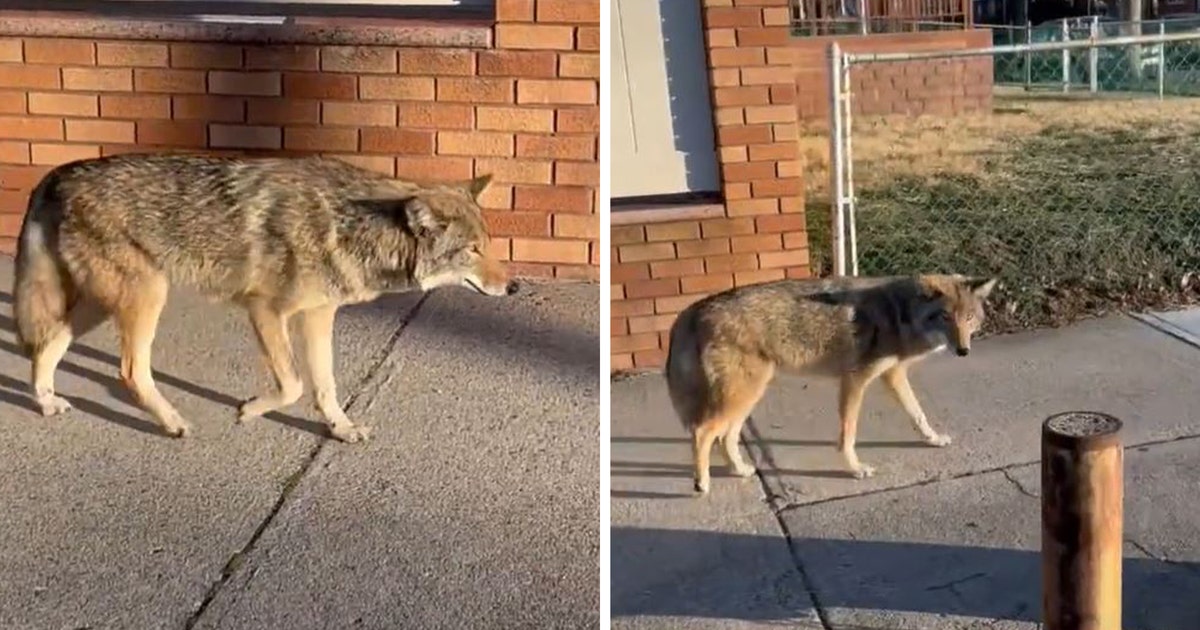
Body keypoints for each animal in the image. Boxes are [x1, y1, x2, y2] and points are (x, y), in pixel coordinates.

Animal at [12, 152, 516, 442]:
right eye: (473, 251)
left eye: (490, 245)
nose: (512, 287)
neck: (350, 225)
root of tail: (58, 173)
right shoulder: (265, 311)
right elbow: (292, 385)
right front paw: (250, 410)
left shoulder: (318, 317)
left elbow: (325, 385)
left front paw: (341, 429)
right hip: (146, 298)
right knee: (130, 370)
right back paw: (172, 422)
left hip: (105, 305)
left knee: (47, 344)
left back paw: (46, 402)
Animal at [664, 274, 998, 495]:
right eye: (945, 317)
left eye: (969, 317)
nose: (963, 350)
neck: (899, 313)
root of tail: (696, 307)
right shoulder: (854, 380)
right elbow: (848, 434)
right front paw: (856, 469)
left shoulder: (892, 375)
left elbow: (918, 414)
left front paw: (933, 439)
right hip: (743, 395)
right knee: (702, 432)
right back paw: (702, 483)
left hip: (749, 396)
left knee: (726, 437)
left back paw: (740, 470)